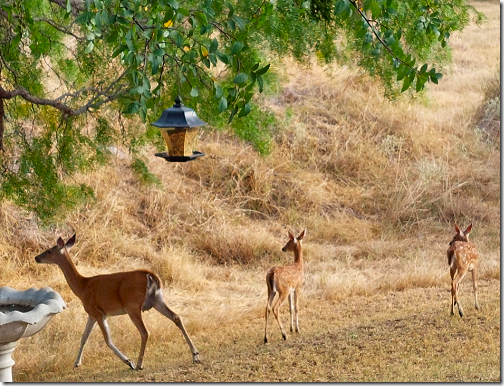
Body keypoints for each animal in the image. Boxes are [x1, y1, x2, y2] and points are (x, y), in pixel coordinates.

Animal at [34, 234, 200, 370]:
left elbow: (107, 340)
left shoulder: (98, 313)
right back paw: (195, 355)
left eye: (49, 251)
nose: (36, 258)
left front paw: (128, 361)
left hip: (132, 305)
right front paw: (76, 363)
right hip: (158, 300)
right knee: (176, 317)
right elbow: (84, 337)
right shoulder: (91, 314)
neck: (83, 287)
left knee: (145, 332)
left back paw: (139, 364)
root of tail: (150, 275)